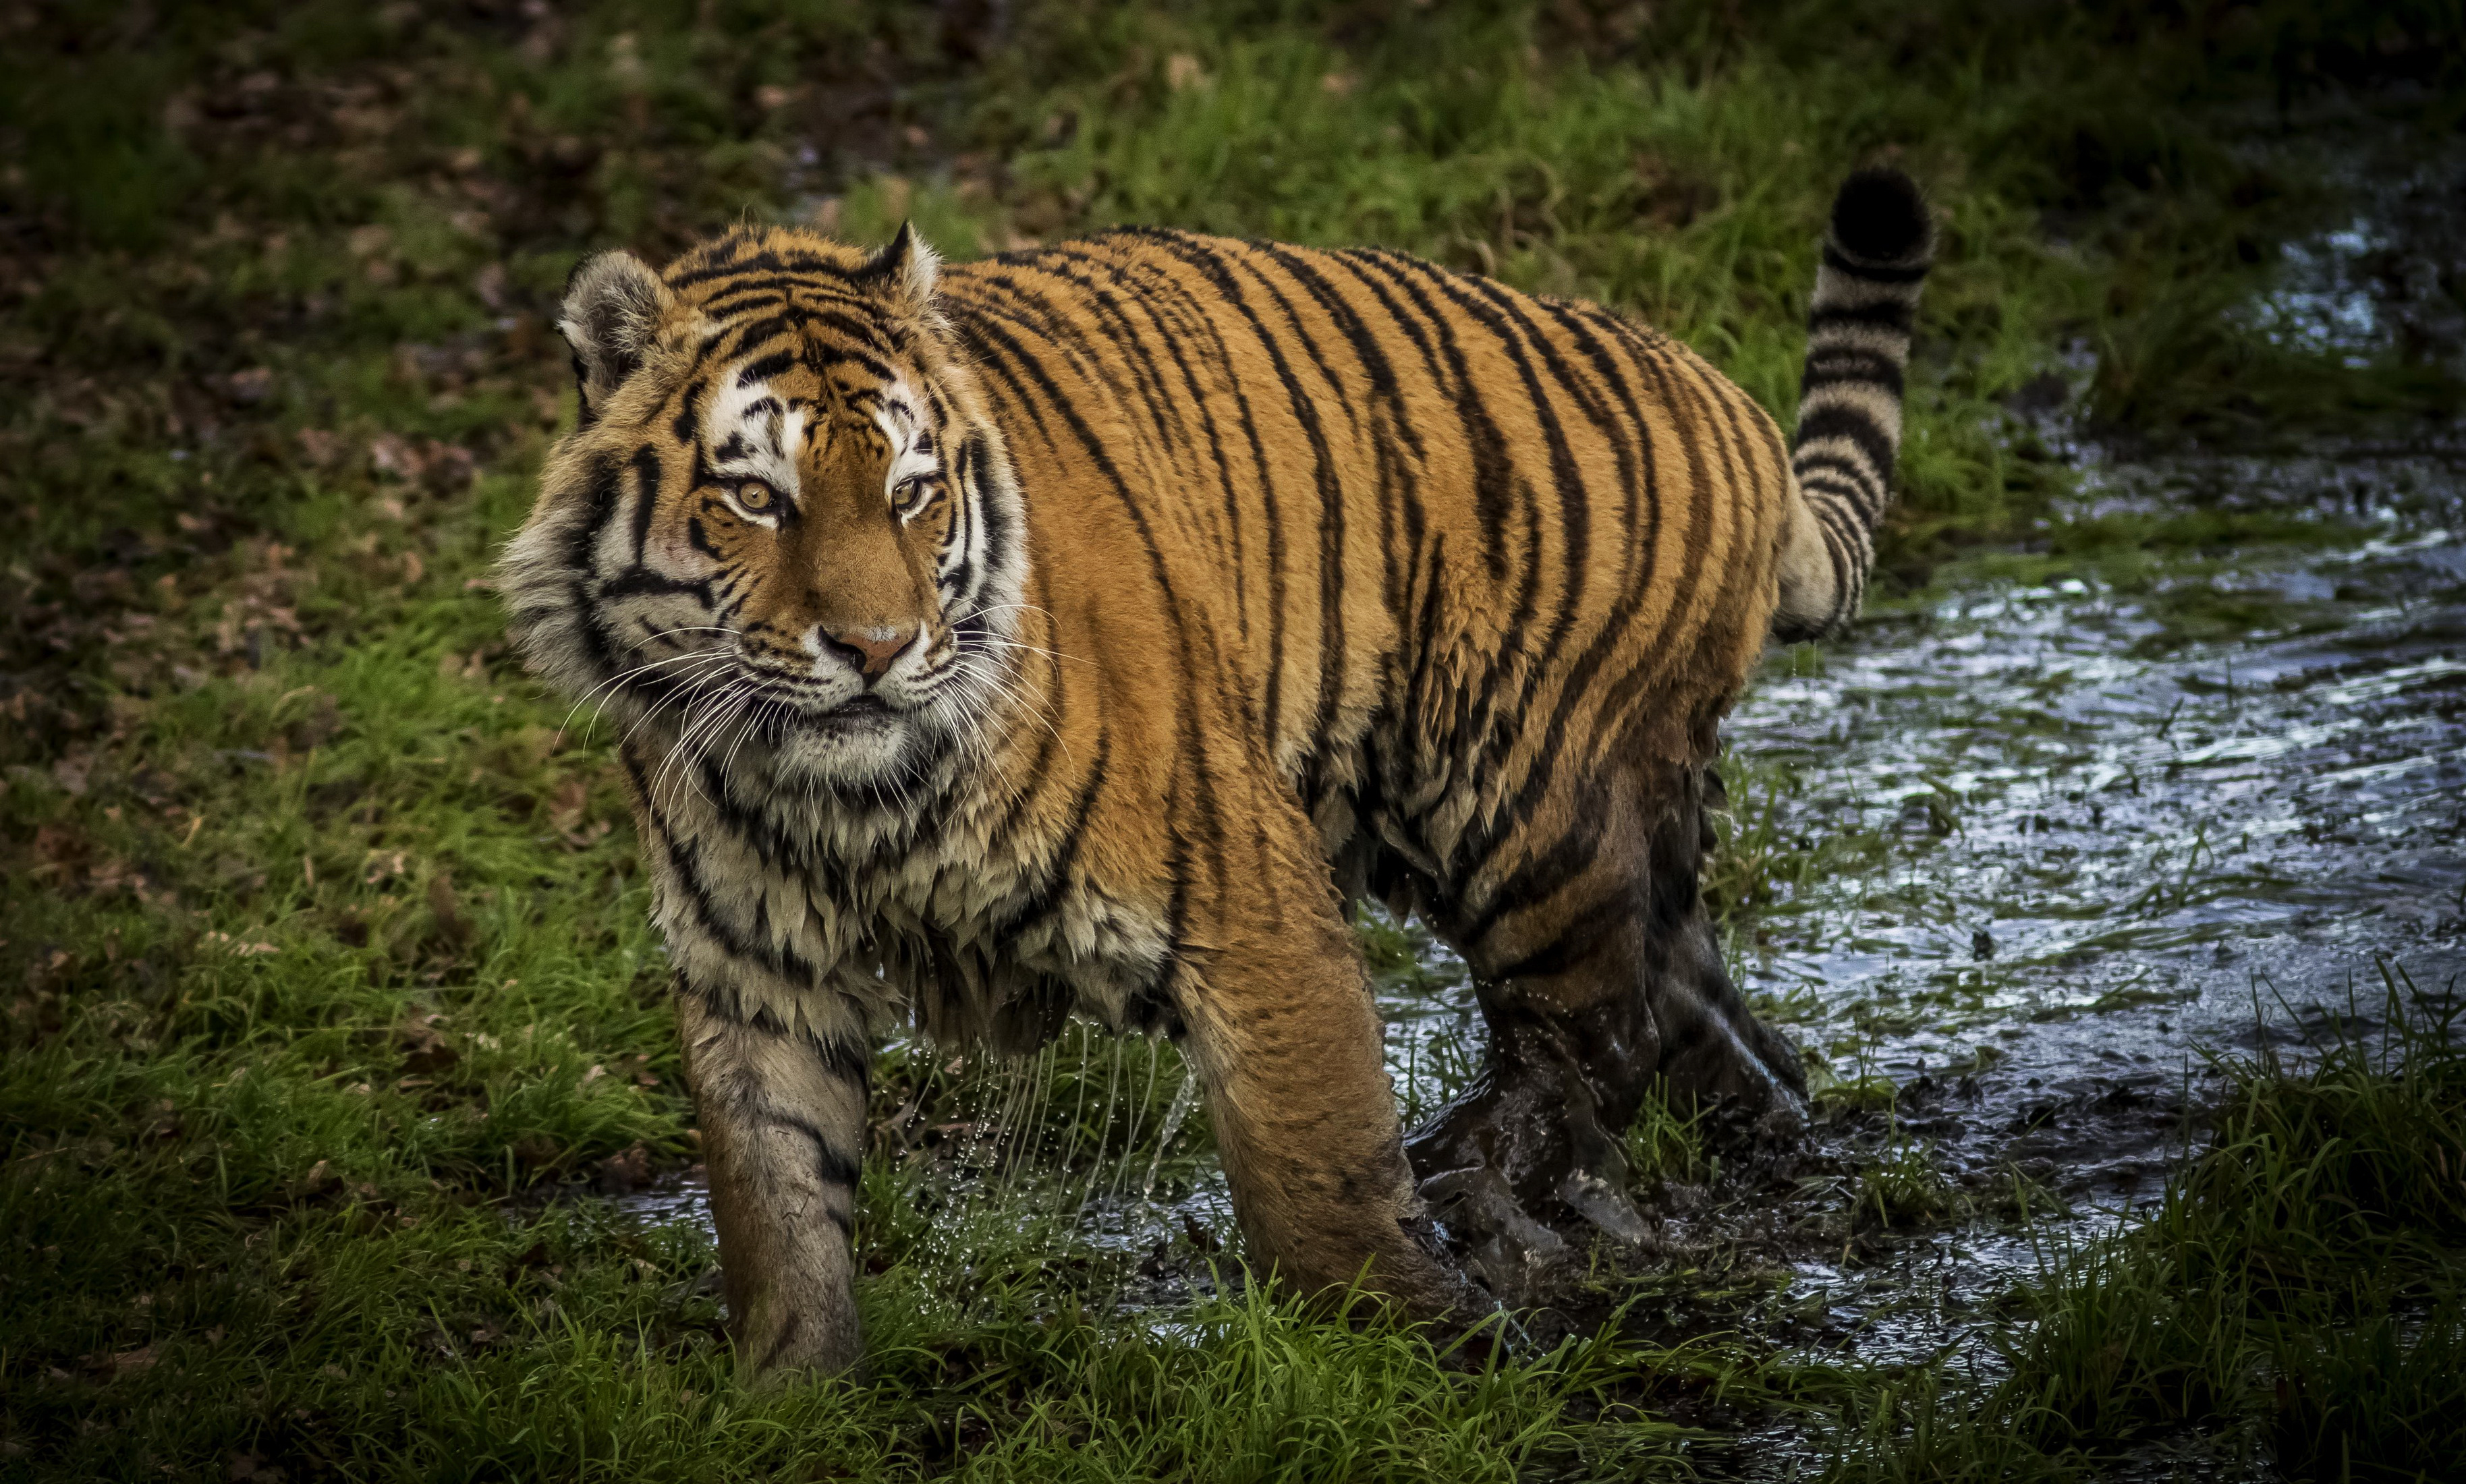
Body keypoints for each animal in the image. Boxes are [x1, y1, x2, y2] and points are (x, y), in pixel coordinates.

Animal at [495, 170, 1923, 1370]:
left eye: (910, 492)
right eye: (758, 499)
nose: (879, 647)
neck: (844, 800)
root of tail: (1724, 402)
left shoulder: (1249, 901)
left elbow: (1317, 1176)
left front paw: (1433, 1348)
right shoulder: (752, 968)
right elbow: (776, 1206)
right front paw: (797, 1400)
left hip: (1522, 802)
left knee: (1595, 1025)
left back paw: (1480, 1176)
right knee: (1709, 1022)